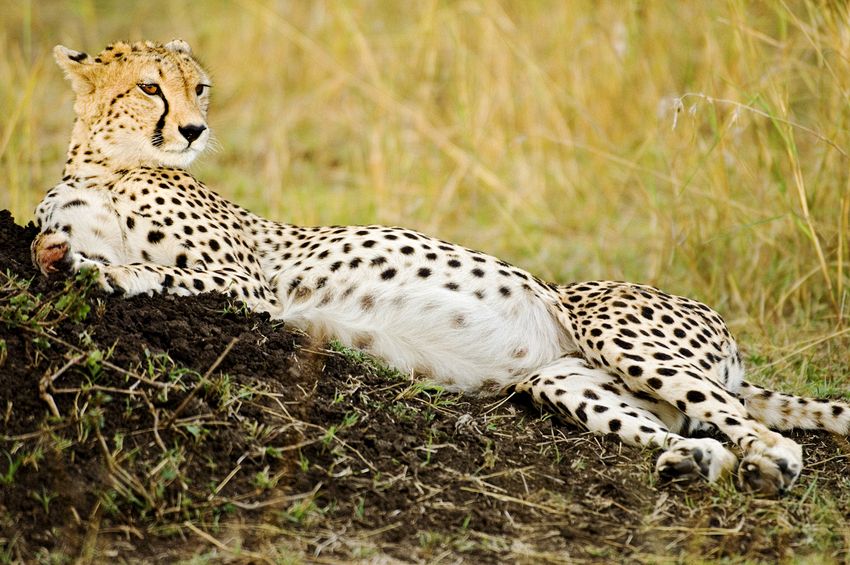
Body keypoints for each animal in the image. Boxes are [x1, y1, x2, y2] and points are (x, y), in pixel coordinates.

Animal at [30, 39, 850, 496]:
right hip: (564, 379)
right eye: (149, 86)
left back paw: (765, 466)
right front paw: (63, 254)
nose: (196, 129)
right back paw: (690, 462)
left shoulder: (250, 287)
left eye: (197, 85)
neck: (102, 159)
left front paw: (106, 273)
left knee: (770, 437)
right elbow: (63, 242)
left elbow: (168, 277)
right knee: (693, 430)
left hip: (617, 333)